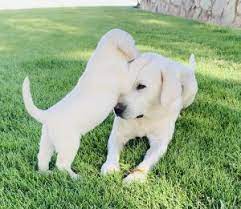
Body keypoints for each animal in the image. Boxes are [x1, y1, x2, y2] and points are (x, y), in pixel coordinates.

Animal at [21, 28, 144, 178]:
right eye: (133, 42)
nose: (139, 52)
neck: (105, 53)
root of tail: (48, 115)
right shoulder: (124, 80)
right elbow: (131, 72)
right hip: (69, 143)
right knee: (61, 165)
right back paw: (75, 177)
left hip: (47, 141)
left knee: (42, 158)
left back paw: (46, 173)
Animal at [100, 52, 197, 183]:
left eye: (141, 86)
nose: (116, 109)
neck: (143, 117)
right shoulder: (117, 134)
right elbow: (113, 152)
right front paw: (110, 166)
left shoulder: (159, 143)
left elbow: (147, 161)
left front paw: (136, 176)